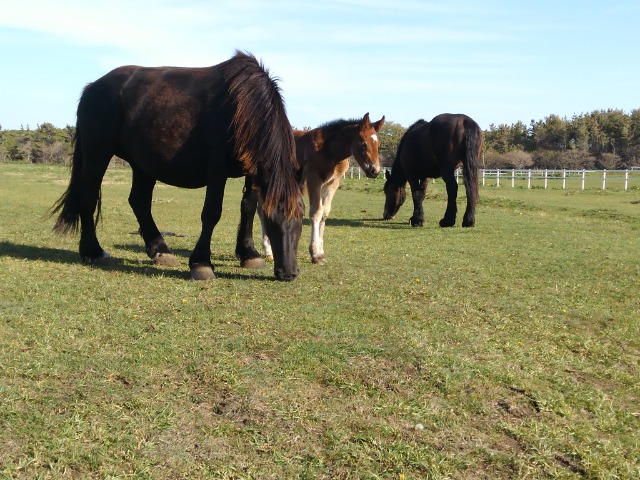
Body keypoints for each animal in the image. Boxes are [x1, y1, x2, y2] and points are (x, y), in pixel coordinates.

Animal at [51, 50, 304, 282]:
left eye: (301, 215)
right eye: (272, 219)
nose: (289, 273)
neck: (242, 104)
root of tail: (92, 87)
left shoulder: (252, 171)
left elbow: (248, 207)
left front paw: (249, 254)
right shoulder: (217, 169)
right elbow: (212, 212)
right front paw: (201, 263)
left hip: (143, 164)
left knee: (139, 201)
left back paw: (160, 250)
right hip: (97, 154)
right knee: (88, 196)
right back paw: (92, 251)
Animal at [235, 113, 384, 266]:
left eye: (378, 144)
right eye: (363, 143)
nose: (375, 171)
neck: (329, 150)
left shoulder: (332, 184)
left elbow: (324, 213)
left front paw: (321, 251)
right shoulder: (314, 179)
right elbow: (316, 212)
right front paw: (315, 253)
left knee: (262, 208)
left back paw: (269, 251)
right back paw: (266, 249)